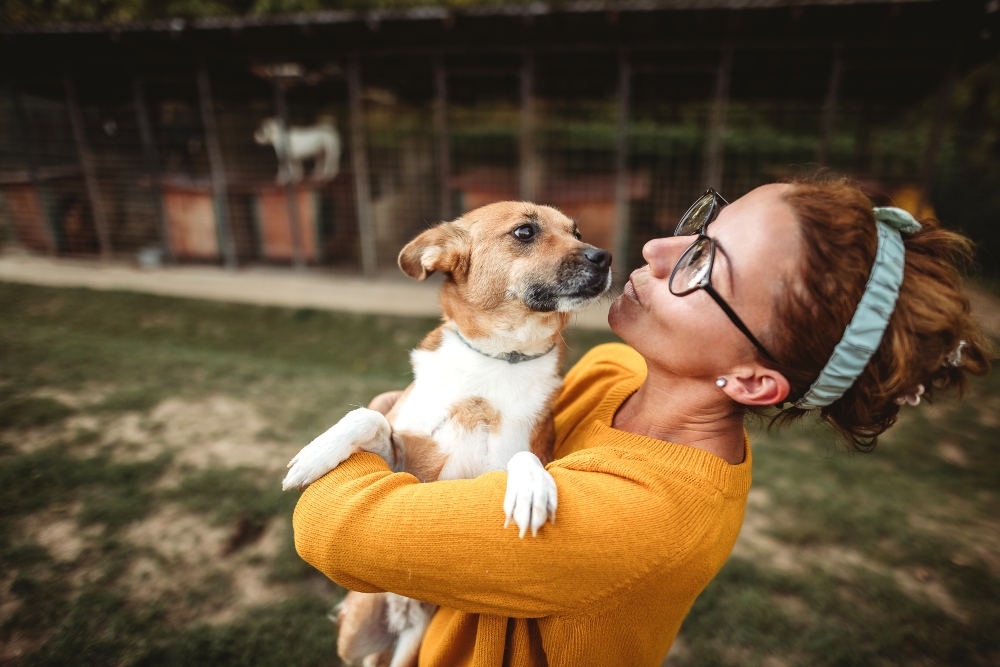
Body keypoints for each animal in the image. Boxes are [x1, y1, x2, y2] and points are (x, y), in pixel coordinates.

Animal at [278, 201, 612, 667]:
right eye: (524, 232)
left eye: (576, 231)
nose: (605, 257)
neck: (500, 359)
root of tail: (402, 611)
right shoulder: (406, 465)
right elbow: (369, 417)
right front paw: (314, 454)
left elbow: (523, 456)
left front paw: (530, 487)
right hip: (354, 632)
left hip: (412, 639)